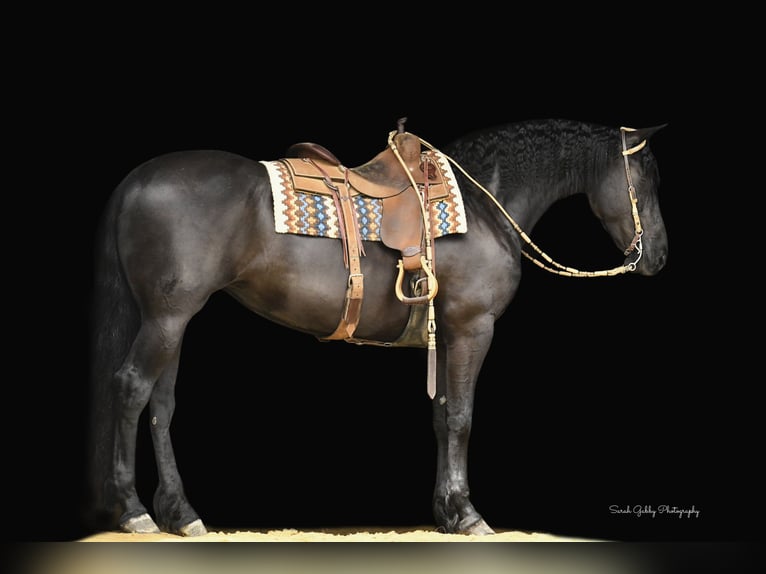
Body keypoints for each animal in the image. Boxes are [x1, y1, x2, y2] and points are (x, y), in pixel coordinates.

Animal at [88, 118, 664, 540]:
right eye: (646, 180)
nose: (657, 255)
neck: (482, 206)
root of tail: (136, 181)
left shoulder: (444, 337)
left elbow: (441, 419)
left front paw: (446, 513)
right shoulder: (472, 329)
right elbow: (462, 419)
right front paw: (468, 514)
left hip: (172, 319)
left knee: (162, 405)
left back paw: (180, 513)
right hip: (166, 318)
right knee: (131, 389)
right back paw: (134, 510)